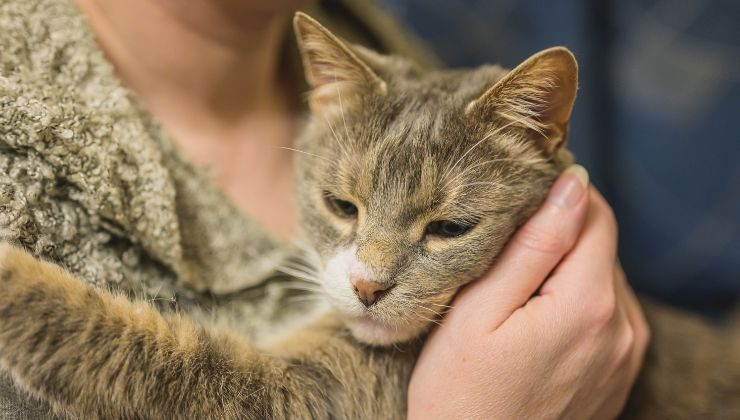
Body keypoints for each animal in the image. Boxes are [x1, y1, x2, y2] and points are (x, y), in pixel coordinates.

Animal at [0, 11, 736, 418]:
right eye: (340, 206)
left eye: (449, 229)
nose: (367, 286)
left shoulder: (313, 395)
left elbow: (155, 353)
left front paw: (15, 277)